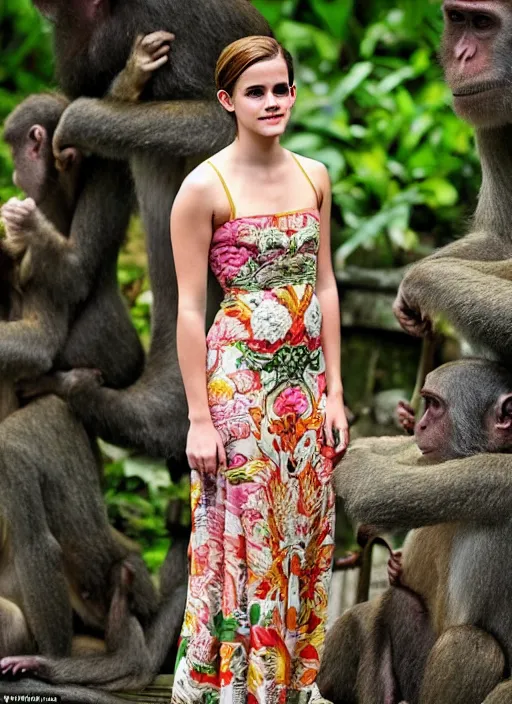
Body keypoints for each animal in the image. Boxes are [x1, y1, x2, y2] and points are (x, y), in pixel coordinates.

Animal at [320, 360, 512, 704]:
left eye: (435, 406)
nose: (420, 426)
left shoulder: (497, 474)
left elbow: (376, 489)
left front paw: (345, 458)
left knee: (473, 648)